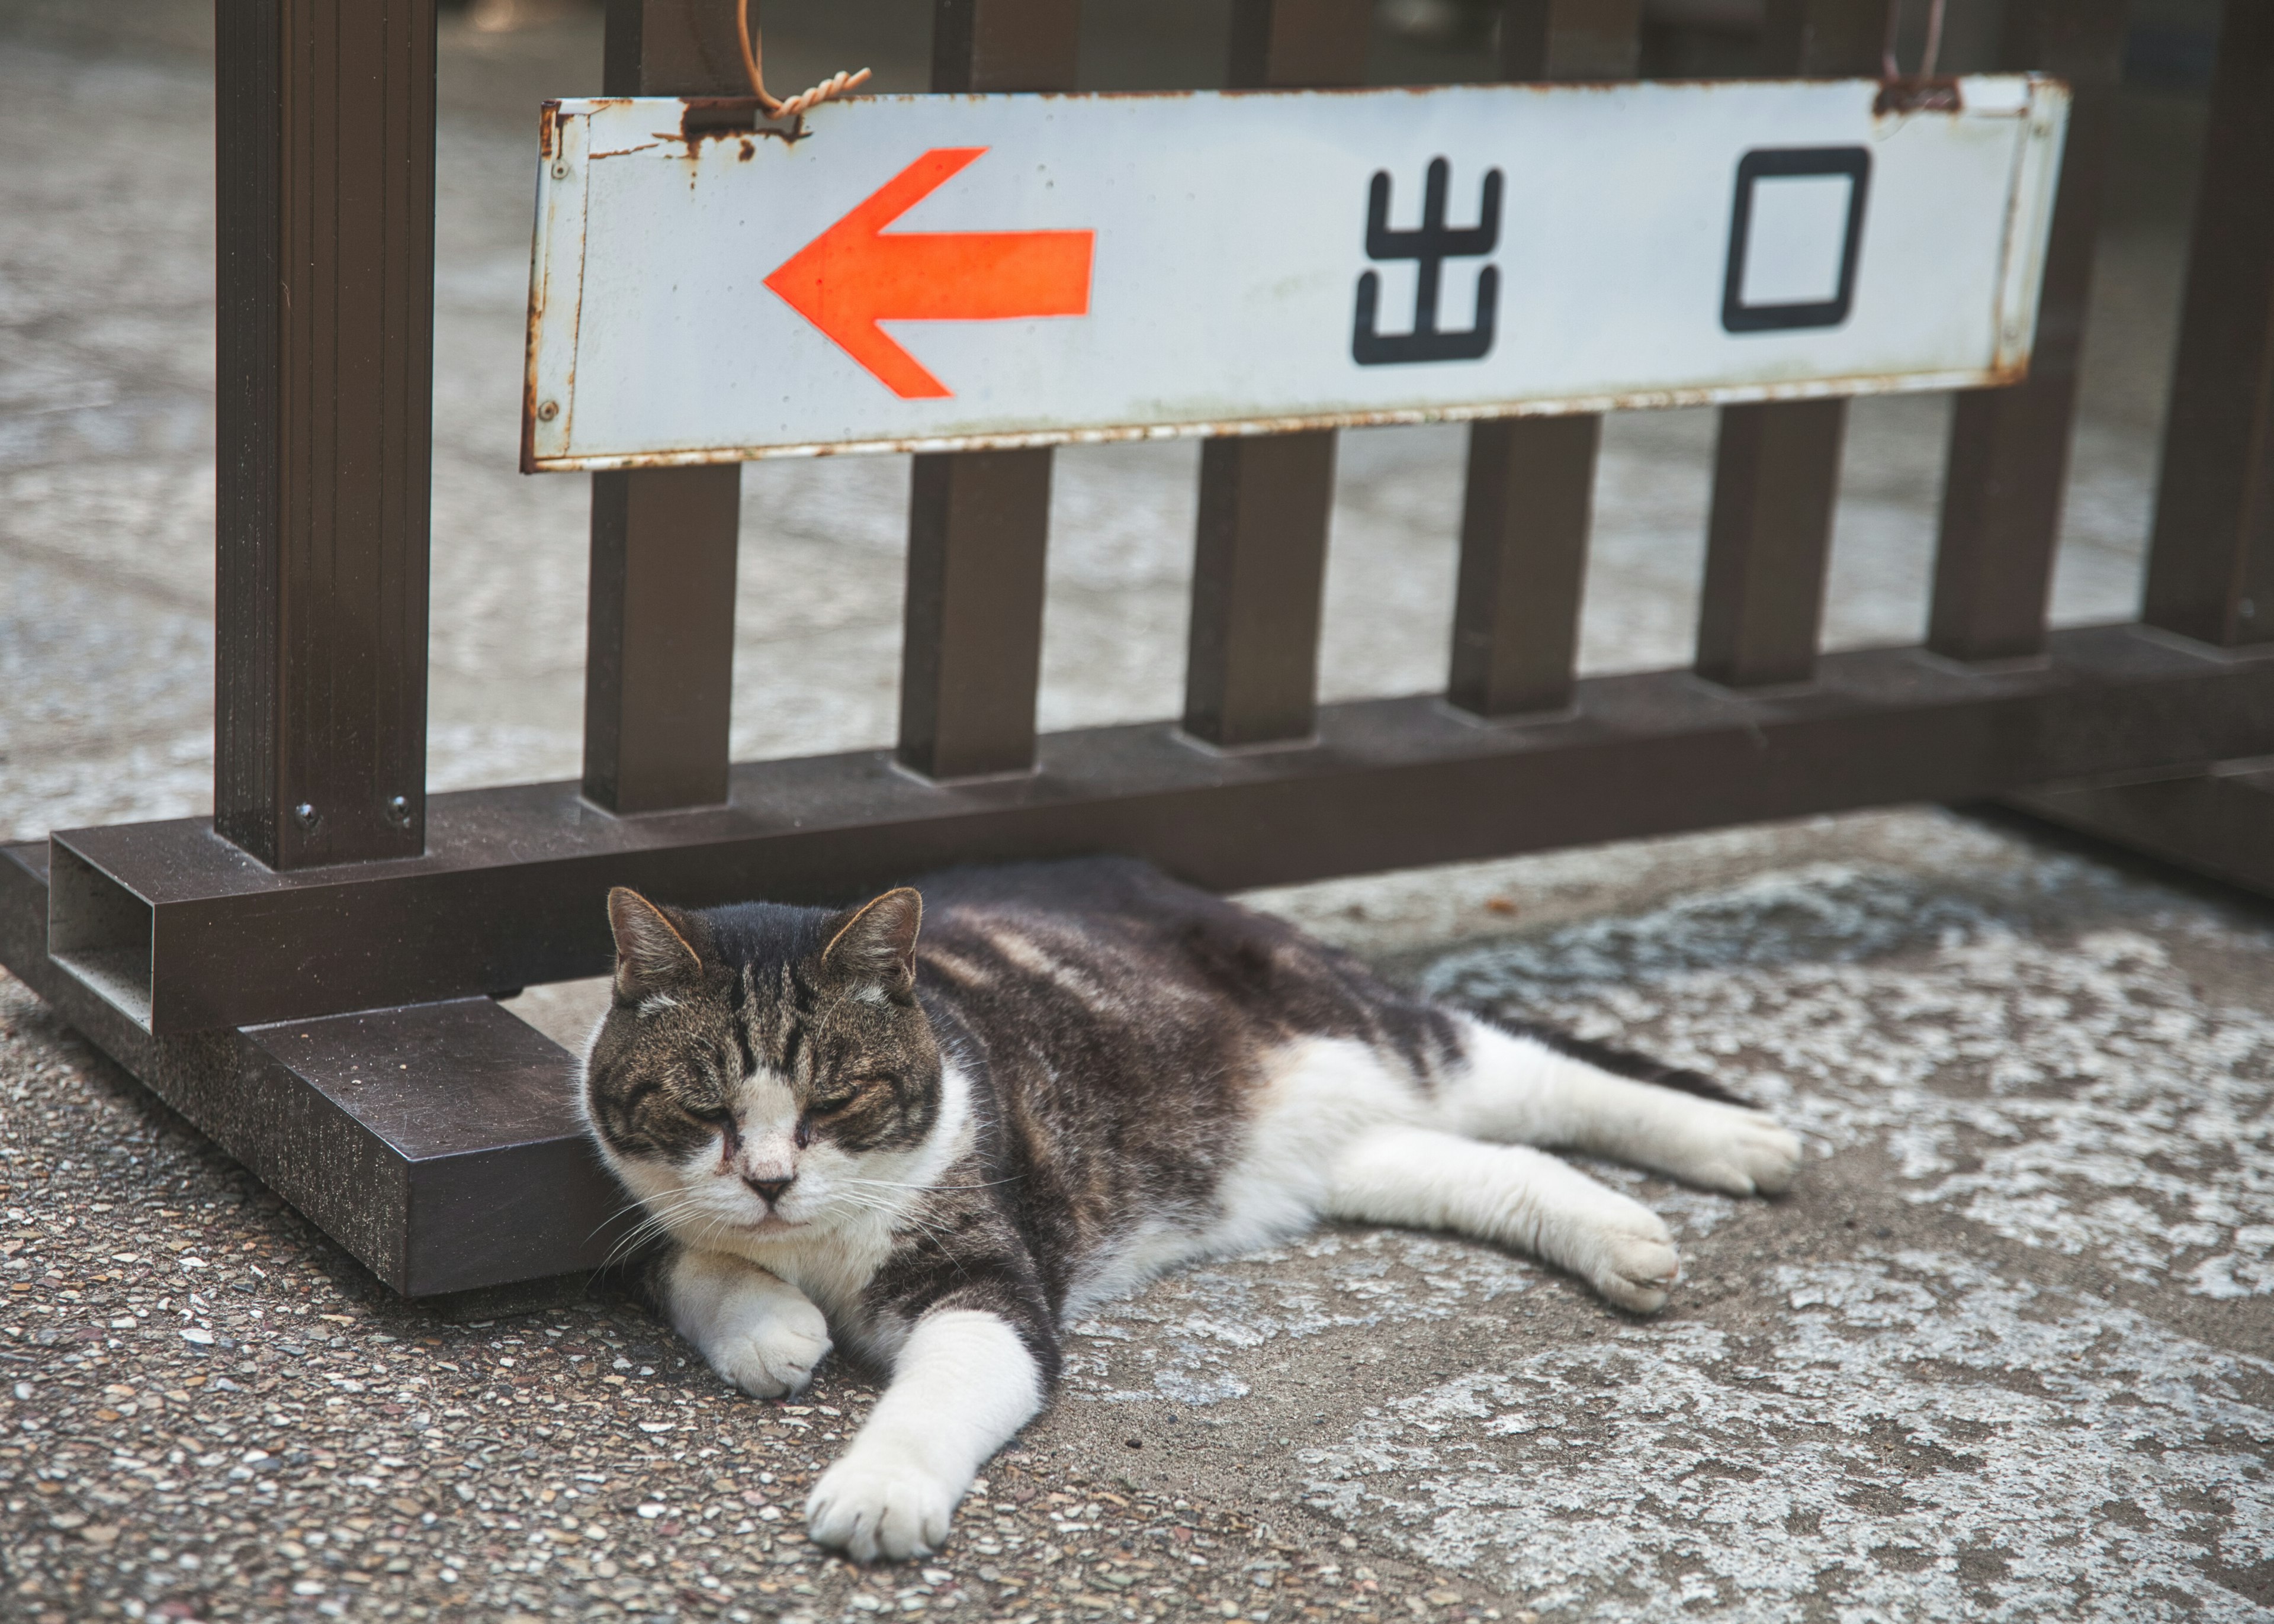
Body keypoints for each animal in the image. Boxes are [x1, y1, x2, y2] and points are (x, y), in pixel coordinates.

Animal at [577, 855, 1801, 1565]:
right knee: (1486, 1161)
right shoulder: (601, 1195)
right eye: (704, 1105)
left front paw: (878, 1490)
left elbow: (941, 1391)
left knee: (1542, 1080)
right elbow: (676, 1257)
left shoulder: (990, 1282)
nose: (770, 1178)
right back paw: (1623, 1233)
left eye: (834, 1099)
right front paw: (768, 1326)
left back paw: (1737, 1139)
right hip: (1335, 1151)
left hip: (1372, 1028)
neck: (821, 1244)